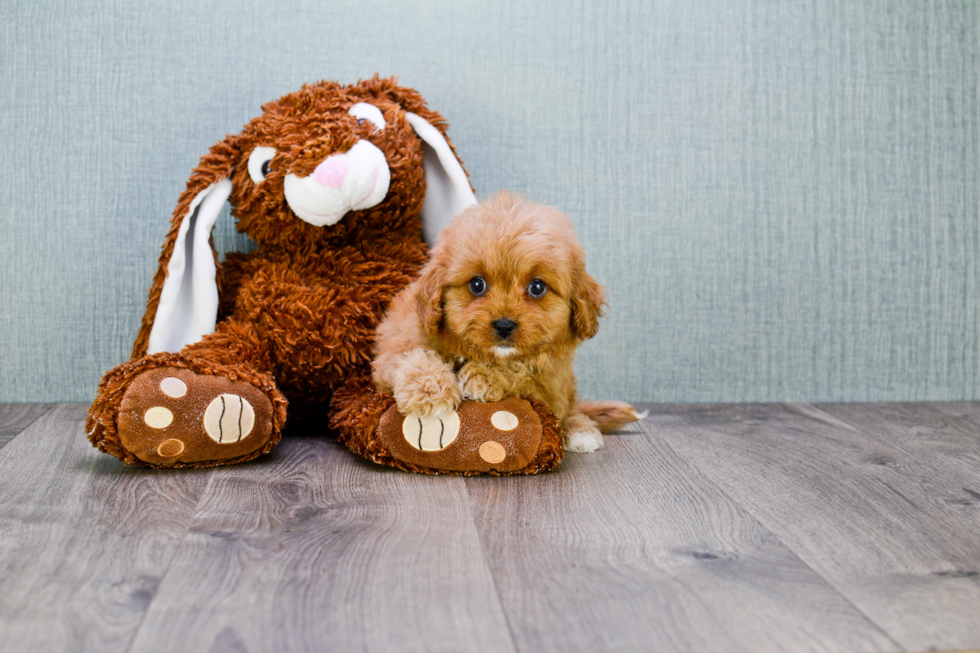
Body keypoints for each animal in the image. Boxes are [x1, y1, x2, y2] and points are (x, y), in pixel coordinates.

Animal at [372, 191, 640, 450]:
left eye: (537, 287)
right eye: (476, 284)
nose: (504, 325)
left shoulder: (550, 384)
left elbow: (523, 373)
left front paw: (483, 376)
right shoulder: (392, 349)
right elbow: (410, 358)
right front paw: (430, 391)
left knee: (571, 408)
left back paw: (581, 430)